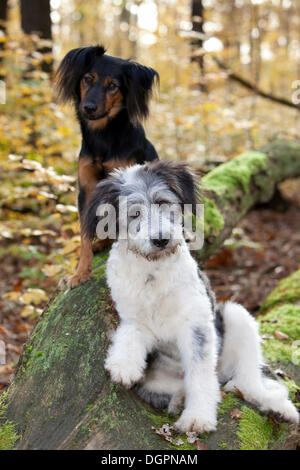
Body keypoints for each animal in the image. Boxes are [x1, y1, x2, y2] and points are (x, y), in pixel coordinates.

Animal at [56, 45, 159, 286]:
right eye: (88, 79)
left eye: (113, 86)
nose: (89, 107)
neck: (103, 137)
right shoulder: (86, 189)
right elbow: (84, 235)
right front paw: (80, 273)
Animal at [83, 160, 298, 432]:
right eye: (134, 213)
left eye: (163, 202)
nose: (161, 239)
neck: (154, 273)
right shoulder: (135, 319)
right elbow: (129, 335)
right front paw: (123, 365)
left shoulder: (197, 325)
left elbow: (200, 374)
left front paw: (198, 418)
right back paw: (179, 400)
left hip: (236, 316)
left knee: (245, 382)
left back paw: (278, 408)